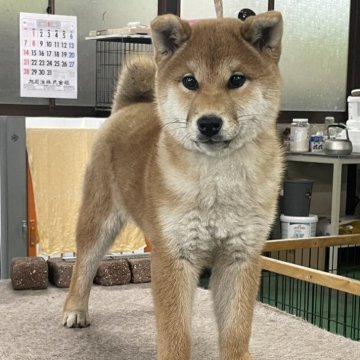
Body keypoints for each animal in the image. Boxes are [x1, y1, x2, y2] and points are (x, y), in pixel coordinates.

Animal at [63, 11, 286, 360]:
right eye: (190, 81)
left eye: (236, 80)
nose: (209, 123)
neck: (217, 180)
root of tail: (127, 108)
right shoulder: (175, 255)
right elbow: (176, 333)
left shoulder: (239, 256)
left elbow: (236, 330)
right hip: (98, 221)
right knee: (83, 266)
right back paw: (75, 309)